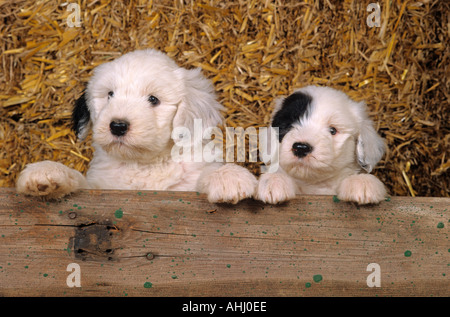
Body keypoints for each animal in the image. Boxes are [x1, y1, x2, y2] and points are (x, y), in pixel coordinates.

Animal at [16, 49, 256, 202]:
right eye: (110, 95)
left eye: (153, 99)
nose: (118, 126)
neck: (144, 164)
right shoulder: (101, 189)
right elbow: (80, 182)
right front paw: (47, 171)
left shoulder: (187, 185)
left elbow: (204, 177)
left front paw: (227, 177)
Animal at [256, 85, 386, 204]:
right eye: (288, 126)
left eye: (333, 130)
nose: (301, 148)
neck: (315, 184)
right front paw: (274, 180)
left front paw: (361, 182)